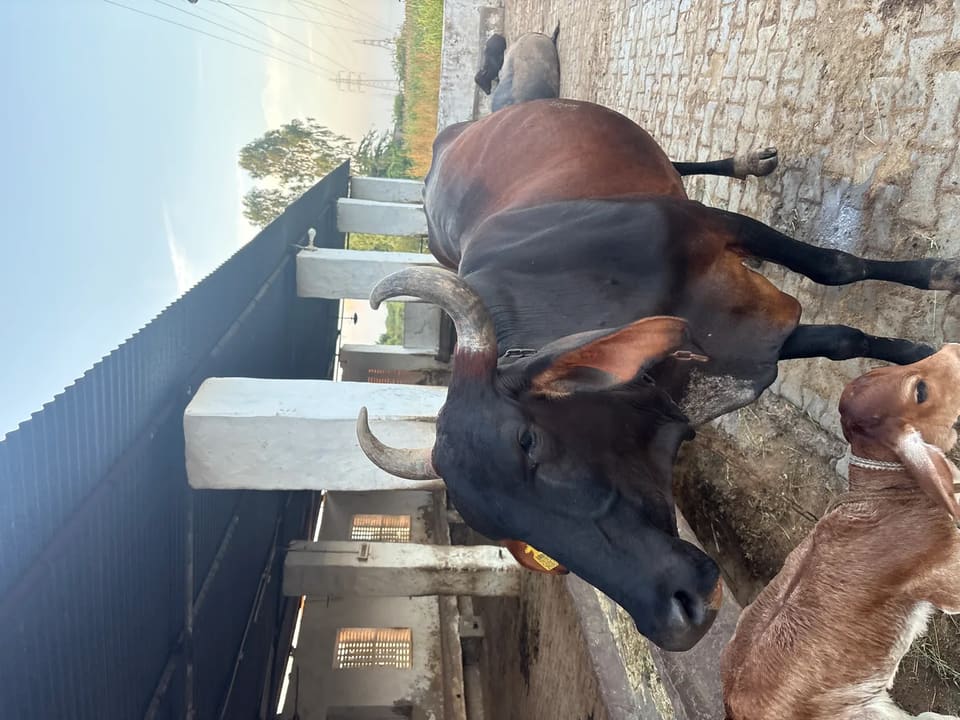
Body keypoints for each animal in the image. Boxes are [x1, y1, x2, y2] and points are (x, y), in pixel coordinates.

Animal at [355, 97, 960, 651]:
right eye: (501, 532)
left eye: (529, 441)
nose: (678, 617)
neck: (565, 282)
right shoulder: (732, 345)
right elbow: (839, 340)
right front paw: (915, 353)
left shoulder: (713, 228)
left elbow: (838, 268)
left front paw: (937, 283)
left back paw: (748, 163)